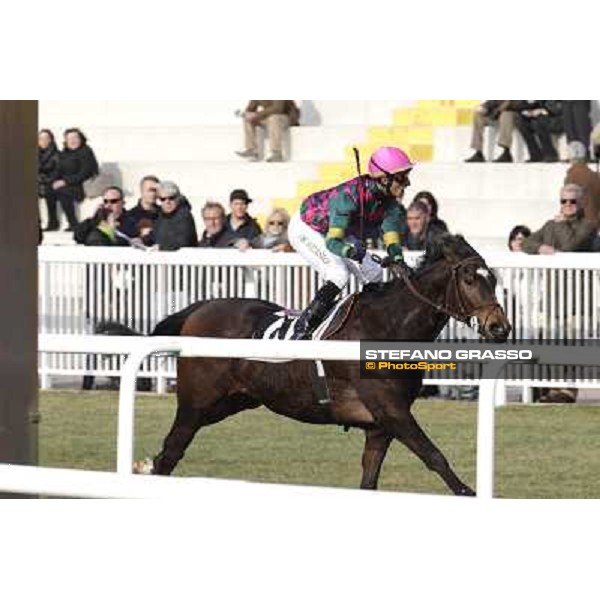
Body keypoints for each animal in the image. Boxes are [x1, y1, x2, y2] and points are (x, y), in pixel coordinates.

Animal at [136, 232, 510, 494]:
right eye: (469, 279)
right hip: (196, 404)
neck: (387, 327)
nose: (500, 328)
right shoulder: (392, 412)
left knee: (166, 456)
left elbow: (370, 482)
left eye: (492, 278)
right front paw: (469, 491)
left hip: (230, 402)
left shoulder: (380, 426)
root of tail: (198, 309)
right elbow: (436, 458)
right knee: (170, 453)